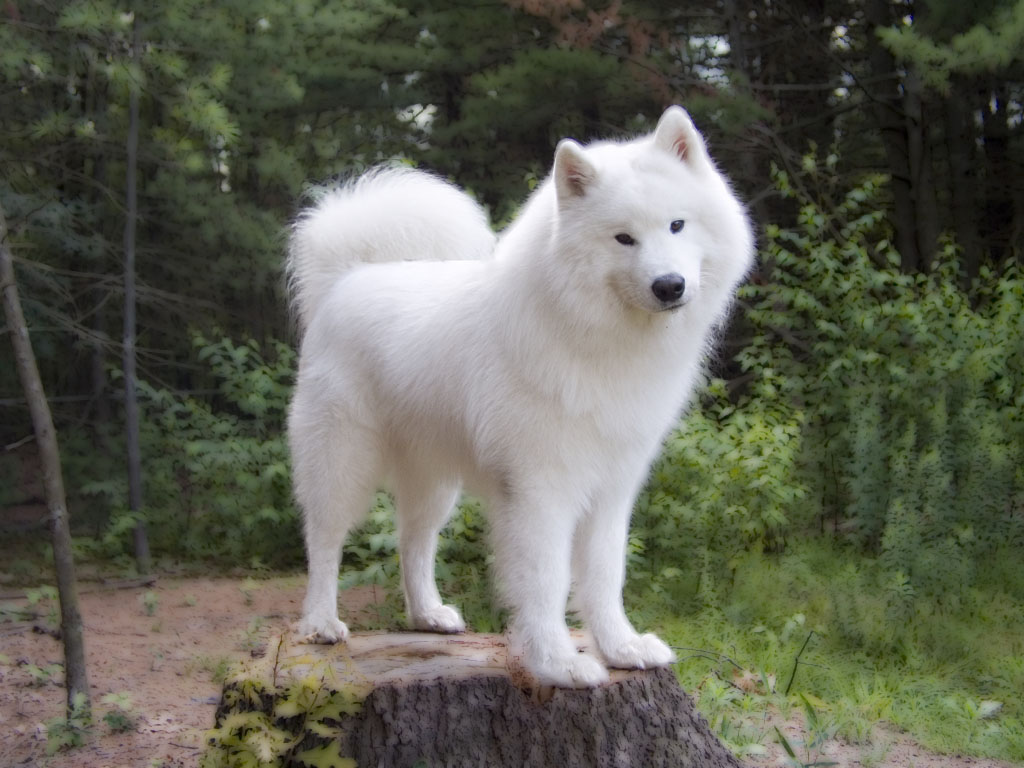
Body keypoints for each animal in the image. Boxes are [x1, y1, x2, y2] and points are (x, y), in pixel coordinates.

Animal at [286, 105, 753, 688]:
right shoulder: (540, 491)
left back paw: (427, 615)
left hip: (434, 481)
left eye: (677, 225)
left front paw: (621, 647)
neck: (591, 337)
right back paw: (320, 623)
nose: (669, 285)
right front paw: (558, 663)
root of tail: (348, 278)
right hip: (340, 464)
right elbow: (548, 581)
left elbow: (605, 576)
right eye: (623, 239)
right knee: (324, 542)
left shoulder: (611, 489)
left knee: (414, 541)